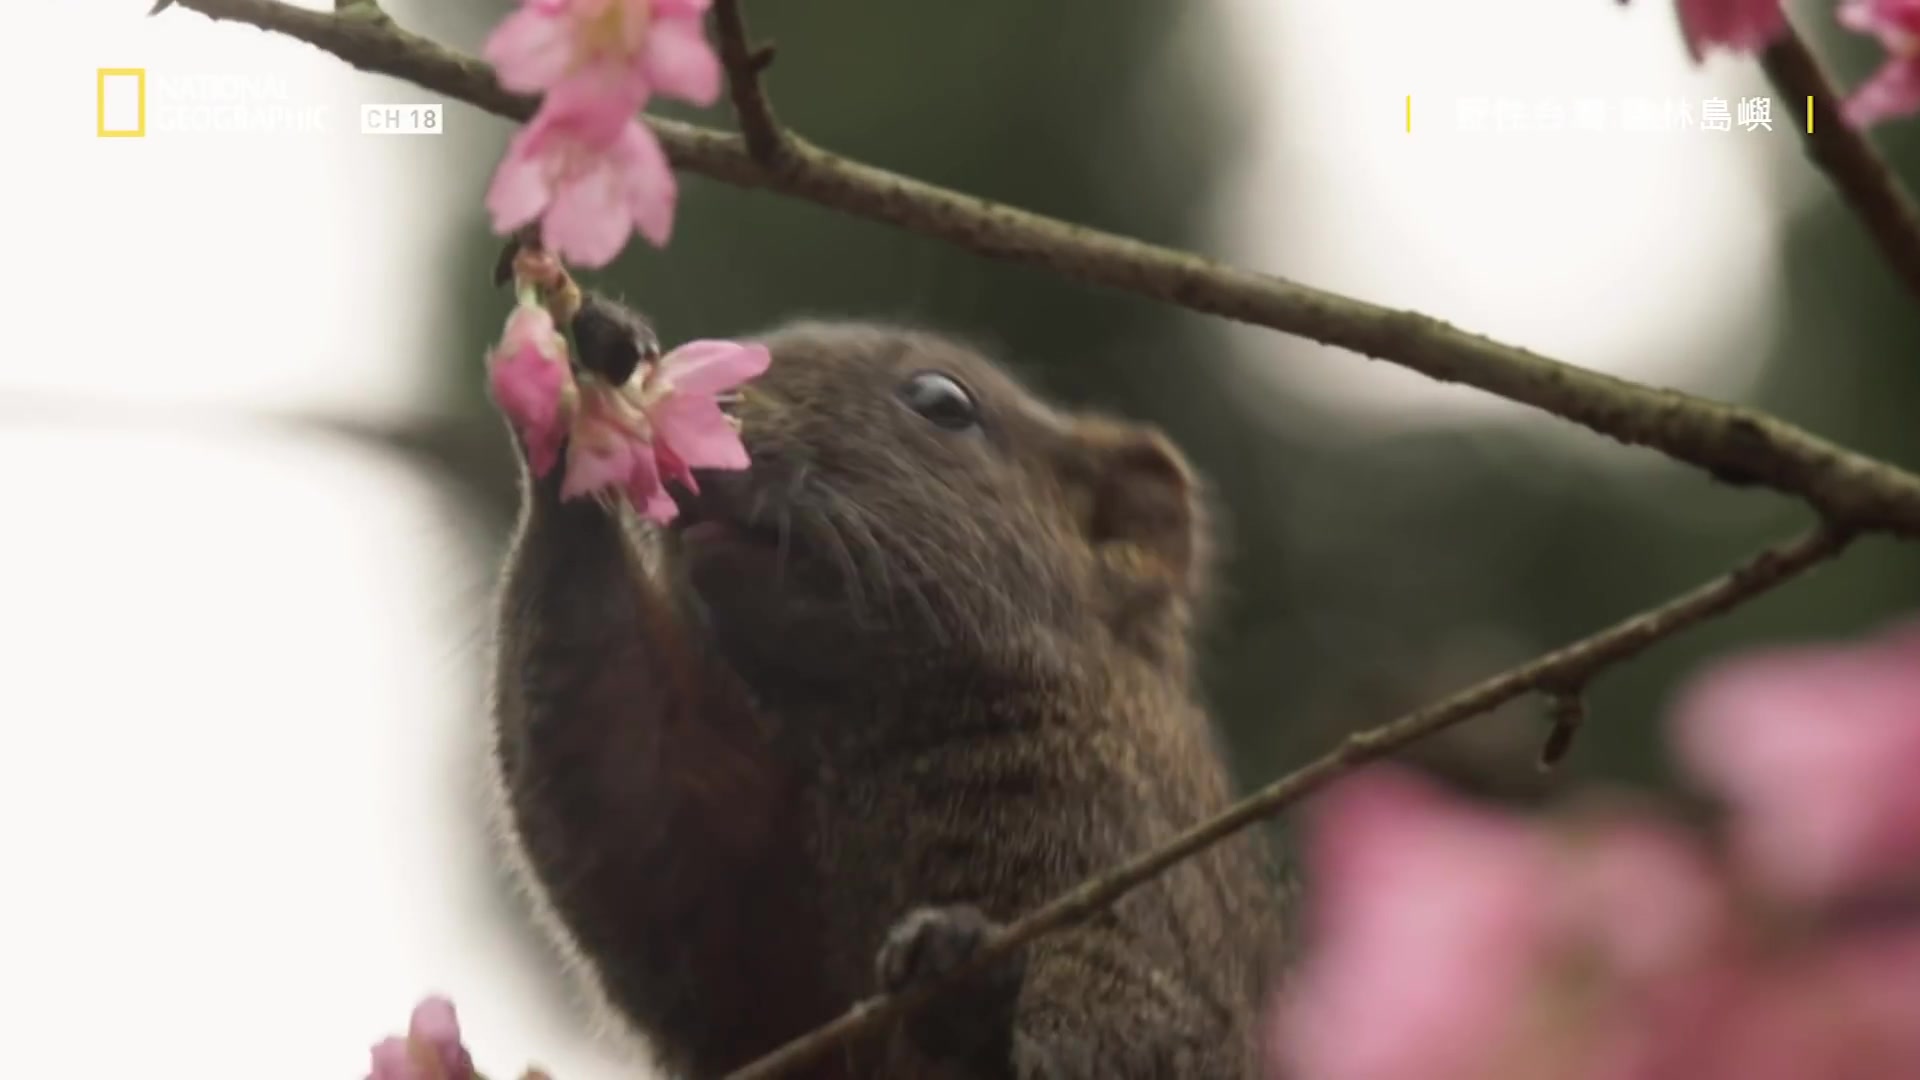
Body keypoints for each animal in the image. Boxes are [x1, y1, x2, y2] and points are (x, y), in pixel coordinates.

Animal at [487, 290, 1282, 1068]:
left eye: (943, 401)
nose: (725, 414)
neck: (855, 730)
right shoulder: (744, 893)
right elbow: (637, 823)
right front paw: (574, 385)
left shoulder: (1125, 830)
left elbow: (1136, 1002)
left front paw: (960, 999)